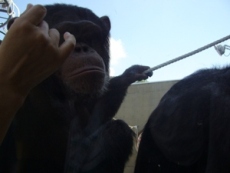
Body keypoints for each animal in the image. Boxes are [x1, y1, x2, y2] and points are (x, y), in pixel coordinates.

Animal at [0, 3, 153, 173]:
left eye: (88, 36)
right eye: (63, 36)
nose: (81, 48)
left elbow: (94, 119)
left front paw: (129, 74)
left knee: (117, 131)